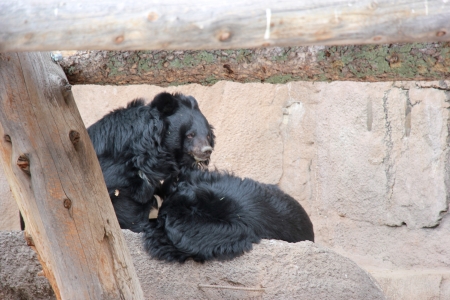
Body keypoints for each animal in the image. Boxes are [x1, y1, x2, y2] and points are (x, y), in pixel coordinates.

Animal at [89, 92, 215, 233]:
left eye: (208, 135)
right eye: (190, 135)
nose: (206, 150)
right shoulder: (119, 166)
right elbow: (125, 196)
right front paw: (138, 226)